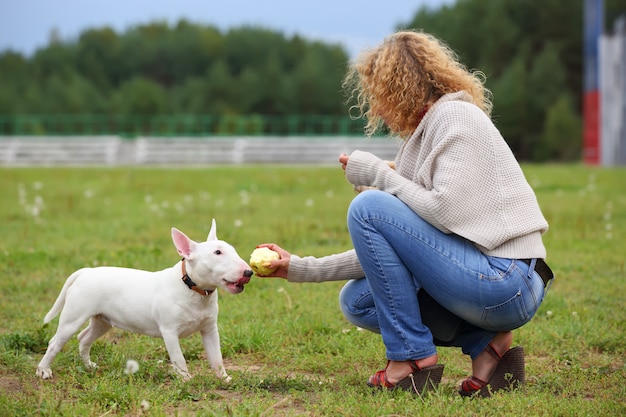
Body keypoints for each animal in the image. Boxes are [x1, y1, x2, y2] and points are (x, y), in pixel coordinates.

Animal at [36, 221, 251, 380]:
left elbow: (216, 357)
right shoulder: (169, 331)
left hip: (102, 320)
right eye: (217, 252)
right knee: (55, 342)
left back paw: (89, 366)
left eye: (232, 249)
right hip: (74, 316)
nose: (248, 272)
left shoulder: (209, 329)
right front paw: (186, 380)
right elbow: (179, 359)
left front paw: (224, 378)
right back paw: (43, 370)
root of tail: (85, 272)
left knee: (84, 338)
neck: (193, 289)